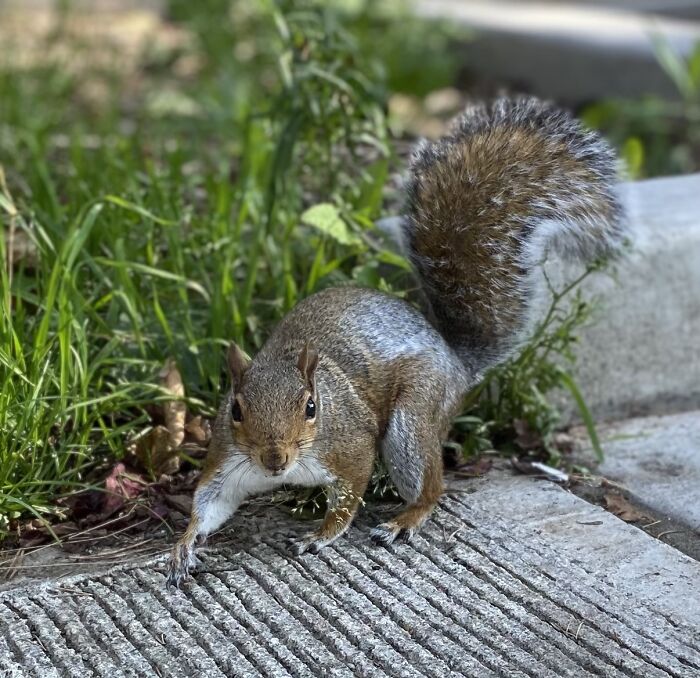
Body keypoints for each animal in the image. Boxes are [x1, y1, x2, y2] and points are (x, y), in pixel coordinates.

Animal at [166, 97, 625, 587]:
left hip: (412, 417)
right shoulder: (228, 459)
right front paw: (184, 544)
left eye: (311, 407)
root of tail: (455, 359)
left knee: (432, 485)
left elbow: (348, 496)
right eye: (235, 409)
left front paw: (321, 534)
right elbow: (209, 503)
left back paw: (406, 517)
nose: (274, 460)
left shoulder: (349, 446)